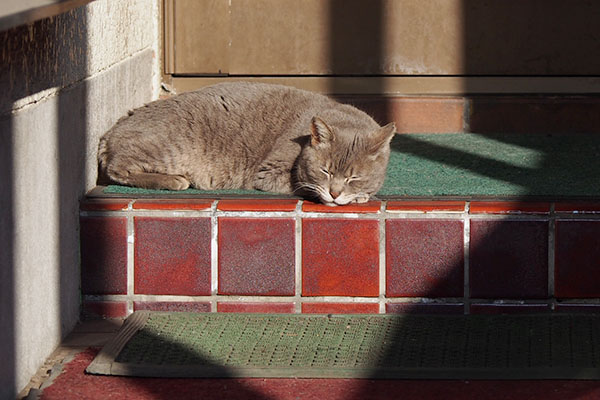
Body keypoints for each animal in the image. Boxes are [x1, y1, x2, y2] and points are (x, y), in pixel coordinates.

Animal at [98, 81, 396, 206]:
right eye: (325, 171)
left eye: (354, 177)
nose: (335, 193)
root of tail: (109, 131)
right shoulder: (270, 173)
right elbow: (304, 186)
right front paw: (357, 197)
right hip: (168, 147)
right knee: (117, 168)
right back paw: (175, 180)